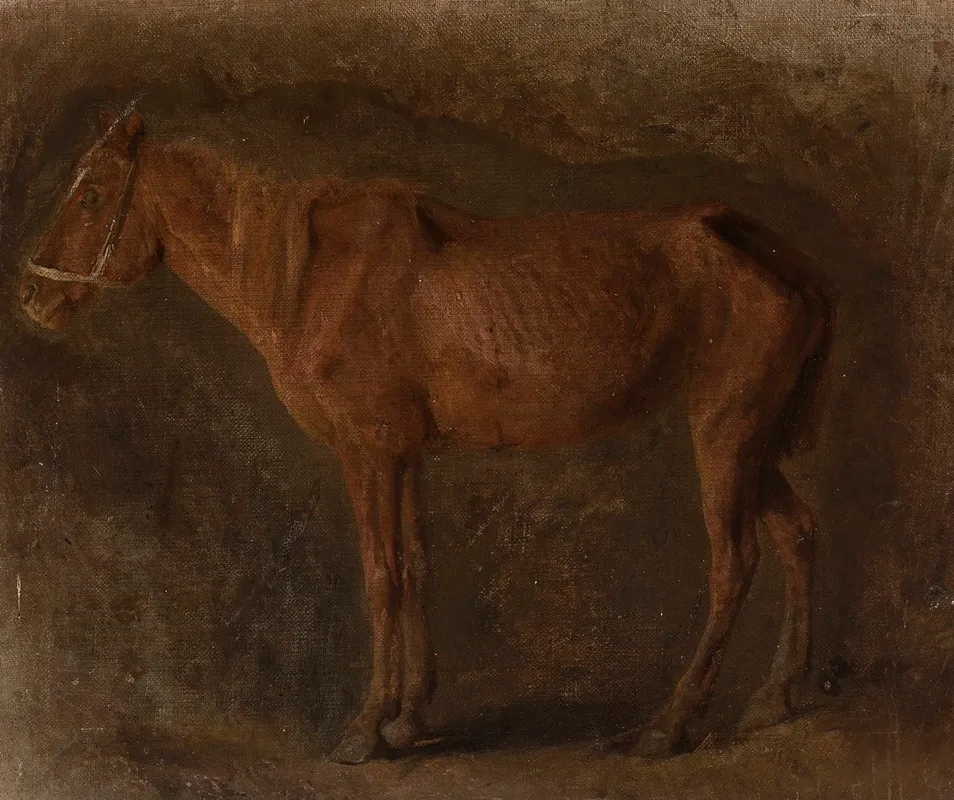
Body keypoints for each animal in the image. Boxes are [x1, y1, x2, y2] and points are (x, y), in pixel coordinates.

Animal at [19, 105, 834, 764]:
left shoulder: (368, 453)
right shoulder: (403, 455)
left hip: (724, 430)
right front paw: (409, 718)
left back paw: (669, 724)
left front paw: (365, 728)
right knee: (797, 533)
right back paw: (775, 697)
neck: (314, 278)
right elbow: (415, 566)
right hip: (752, 440)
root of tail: (754, 245)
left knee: (733, 563)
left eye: (91, 194)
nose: (30, 294)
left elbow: (381, 577)